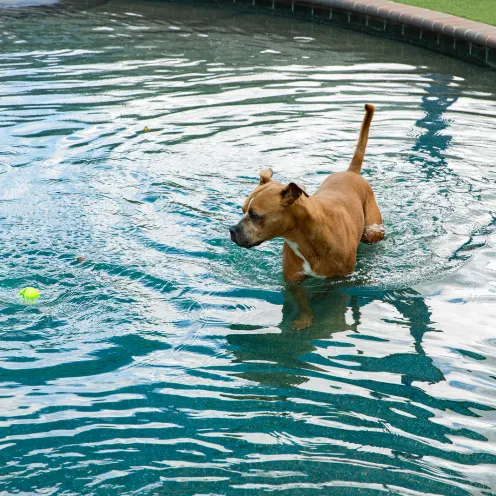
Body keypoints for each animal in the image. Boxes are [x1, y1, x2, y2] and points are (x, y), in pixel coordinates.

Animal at [229, 102, 384, 290]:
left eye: (255, 215)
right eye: (243, 210)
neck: (305, 236)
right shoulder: (293, 282)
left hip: (373, 232)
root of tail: (351, 172)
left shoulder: (339, 280)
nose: (231, 230)